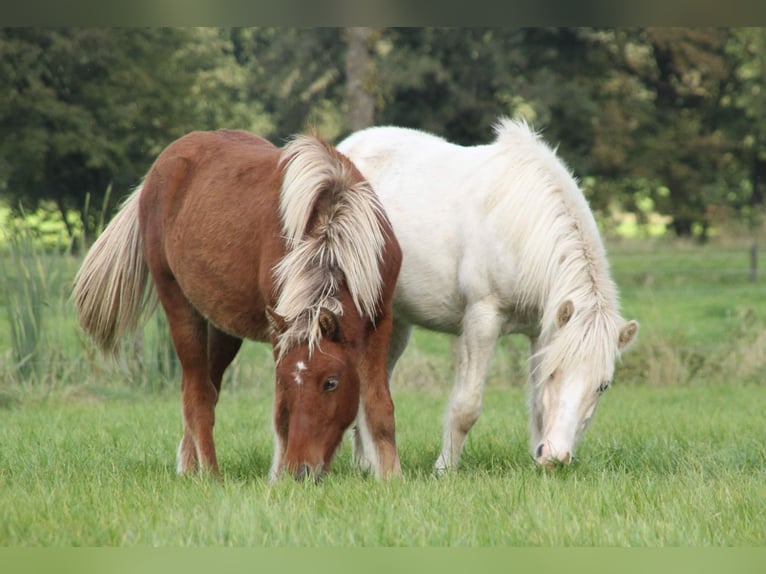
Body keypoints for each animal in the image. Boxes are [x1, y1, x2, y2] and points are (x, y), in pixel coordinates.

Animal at [74, 129, 404, 482]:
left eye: (331, 382)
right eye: (285, 381)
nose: (300, 470)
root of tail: (157, 172)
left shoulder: (380, 319)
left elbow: (380, 407)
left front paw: (391, 477)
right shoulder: (280, 332)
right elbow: (280, 414)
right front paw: (277, 476)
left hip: (222, 329)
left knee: (205, 388)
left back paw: (189, 467)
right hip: (178, 304)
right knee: (197, 395)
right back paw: (210, 474)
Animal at [340, 118, 640, 472]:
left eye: (602, 385)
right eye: (555, 372)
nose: (556, 456)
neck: (522, 228)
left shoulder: (541, 332)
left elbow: (538, 405)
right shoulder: (482, 321)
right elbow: (466, 407)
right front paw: (444, 469)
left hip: (394, 323)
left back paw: (365, 464)